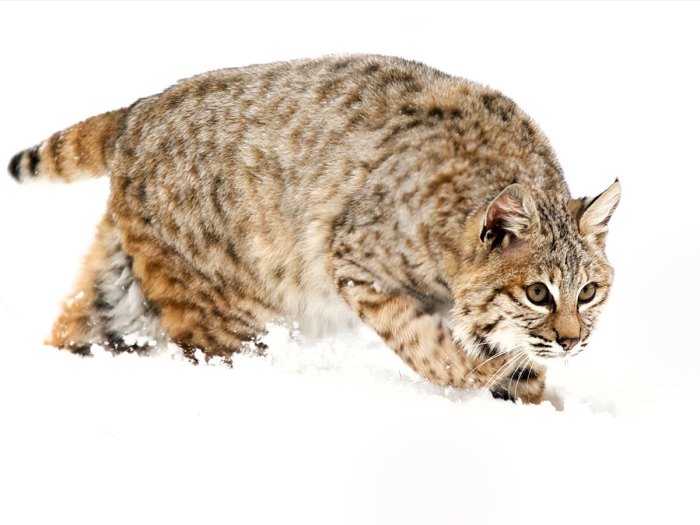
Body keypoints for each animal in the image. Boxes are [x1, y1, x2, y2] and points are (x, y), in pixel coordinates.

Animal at [6, 55, 616, 404]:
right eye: (537, 293)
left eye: (588, 292)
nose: (572, 340)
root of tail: (140, 108)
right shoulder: (350, 259)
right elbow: (424, 344)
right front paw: (474, 372)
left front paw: (530, 405)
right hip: (230, 306)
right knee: (217, 350)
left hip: (127, 291)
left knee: (79, 326)